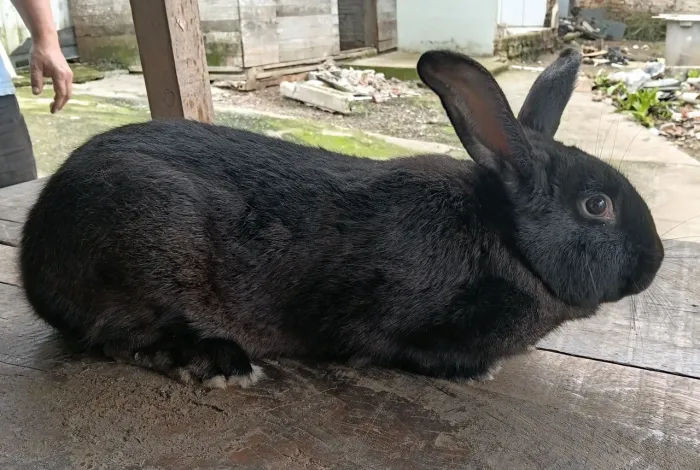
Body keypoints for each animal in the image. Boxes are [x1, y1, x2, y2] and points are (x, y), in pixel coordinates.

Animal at [18, 48, 664, 389]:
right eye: (597, 205)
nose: (655, 262)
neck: (508, 242)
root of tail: (33, 250)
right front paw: (477, 373)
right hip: (150, 254)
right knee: (120, 338)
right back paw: (221, 364)